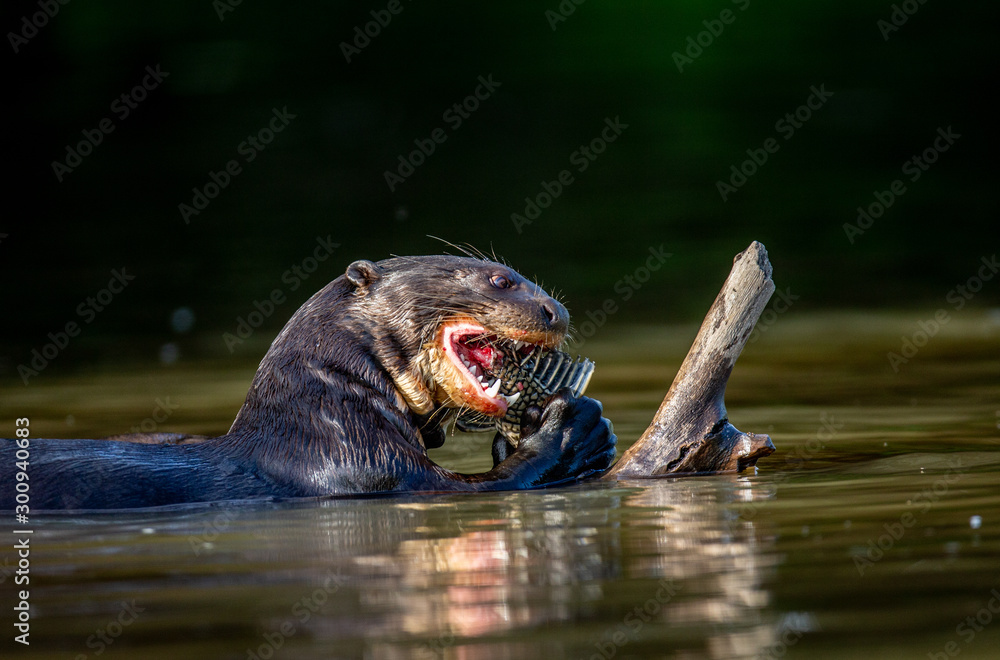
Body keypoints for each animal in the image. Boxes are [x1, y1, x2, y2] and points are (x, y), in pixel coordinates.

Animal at [2, 256, 617, 510]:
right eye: (501, 280)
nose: (557, 311)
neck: (323, 413)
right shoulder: (361, 467)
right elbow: (487, 485)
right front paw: (574, 427)